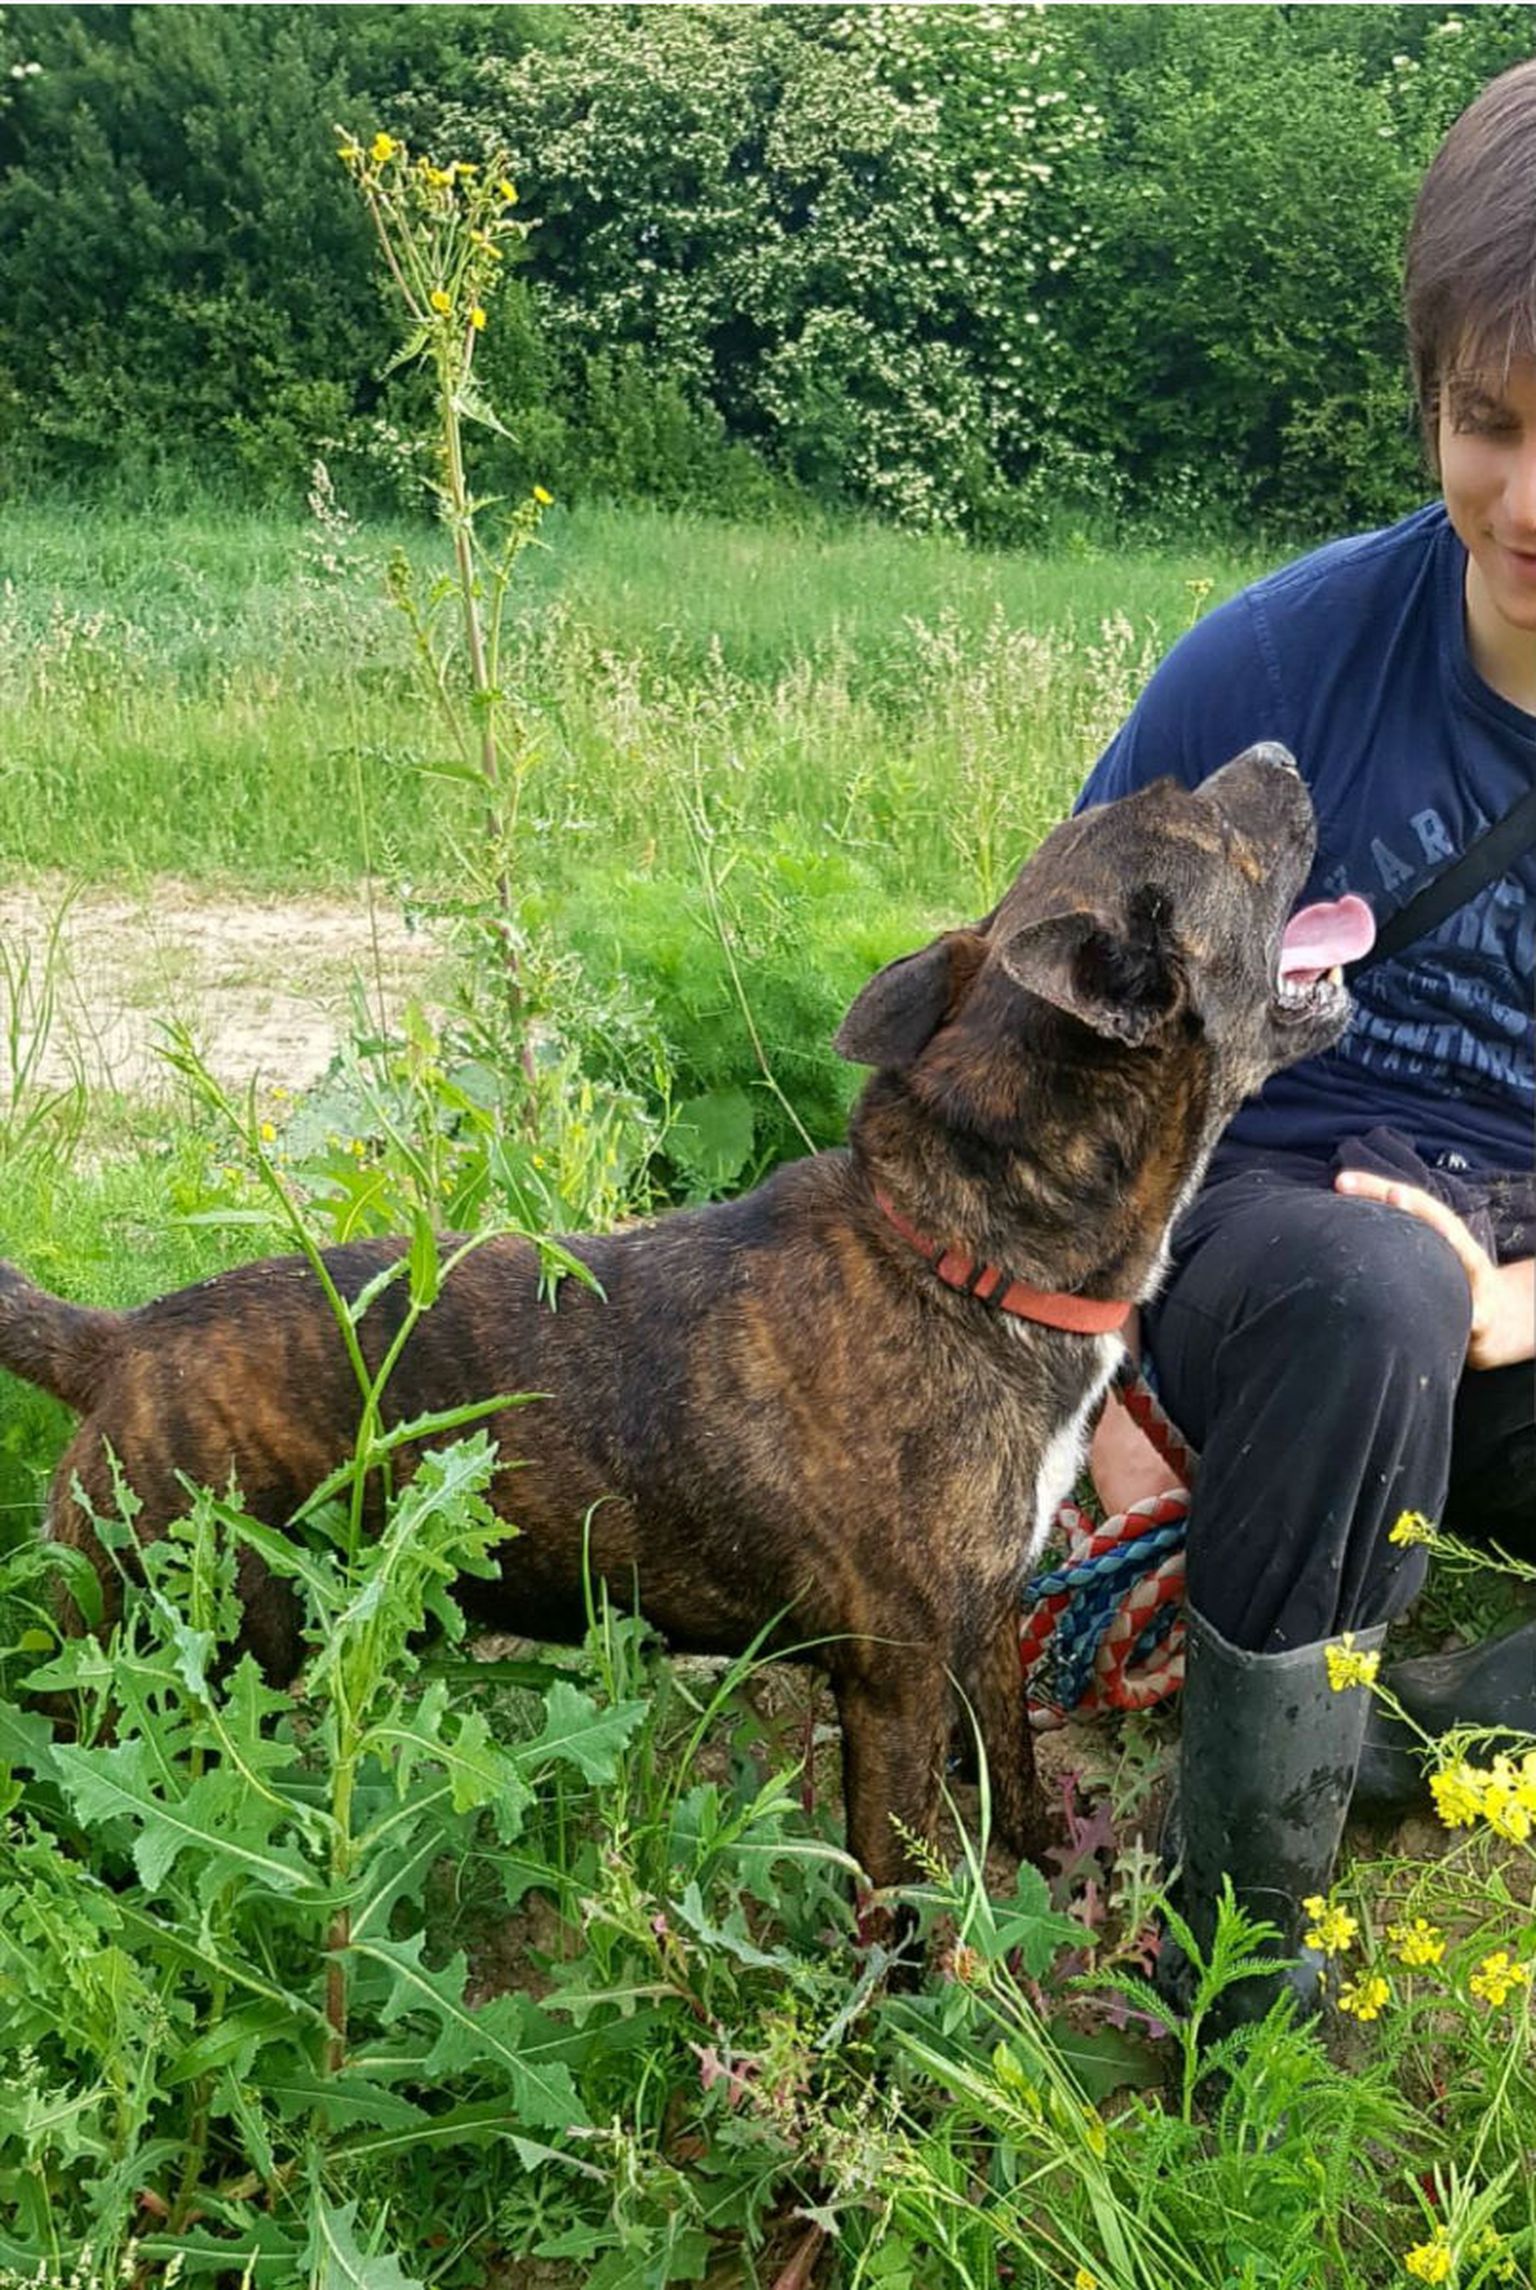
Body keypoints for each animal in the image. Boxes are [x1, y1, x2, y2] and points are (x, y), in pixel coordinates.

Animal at [0, 745, 1351, 1890]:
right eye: (1206, 818)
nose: (1283, 758)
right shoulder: (894, 1686)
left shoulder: (985, 1624)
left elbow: (1013, 1772)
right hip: (148, 1664)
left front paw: (1049, 1878)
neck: (962, 1256)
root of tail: (115, 1345)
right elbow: (898, 1895)